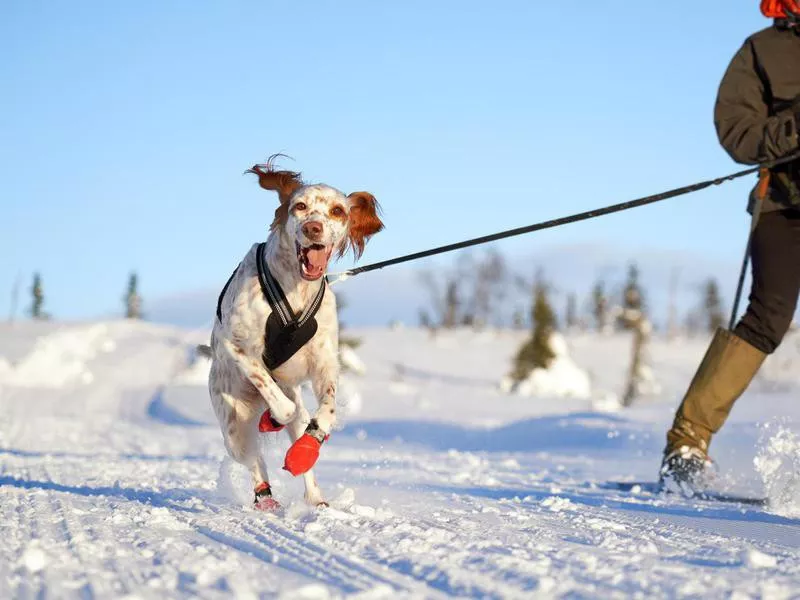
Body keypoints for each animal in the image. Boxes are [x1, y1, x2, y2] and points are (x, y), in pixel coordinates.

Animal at [205, 156, 382, 510]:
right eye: (300, 206)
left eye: (337, 211)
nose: (313, 228)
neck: (296, 288)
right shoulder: (236, 345)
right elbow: (277, 400)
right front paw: (273, 417)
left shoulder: (324, 362)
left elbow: (325, 411)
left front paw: (306, 447)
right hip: (232, 425)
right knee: (254, 456)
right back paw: (264, 496)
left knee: (298, 432)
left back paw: (315, 497)